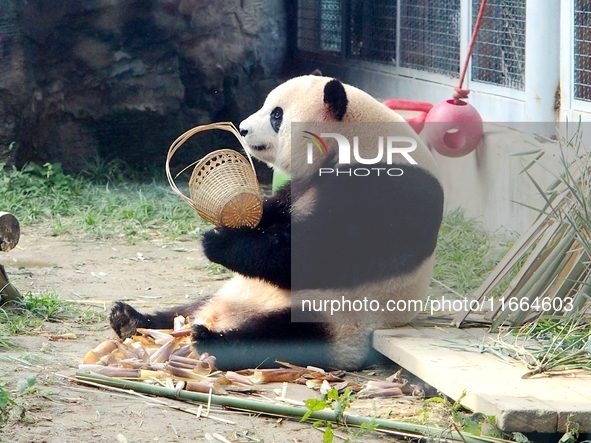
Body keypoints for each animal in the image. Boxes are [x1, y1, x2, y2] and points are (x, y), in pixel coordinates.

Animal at [111, 75, 444, 372]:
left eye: (276, 114)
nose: (243, 128)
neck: (359, 140)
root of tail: (222, 315)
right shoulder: (305, 183)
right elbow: (274, 211)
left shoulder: (388, 192)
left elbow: (323, 255)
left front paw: (219, 241)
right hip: (228, 292)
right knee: (181, 311)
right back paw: (131, 319)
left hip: (338, 318)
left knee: (283, 336)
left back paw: (210, 339)